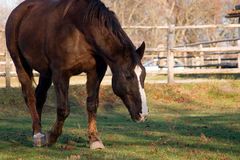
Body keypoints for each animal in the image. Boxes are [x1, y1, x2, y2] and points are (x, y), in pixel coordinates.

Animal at [5, 0, 148, 149]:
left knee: (39, 97)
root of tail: (17, 11)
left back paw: (36, 132)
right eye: (128, 76)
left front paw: (94, 139)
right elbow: (63, 109)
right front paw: (51, 137)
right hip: (21, 65)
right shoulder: (60, 74)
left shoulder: (95, 73)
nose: (142, 114)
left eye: (143, 75)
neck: (79, 31)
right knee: (30, 97)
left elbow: (92, 105)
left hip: (45, 73)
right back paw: (38, 135)